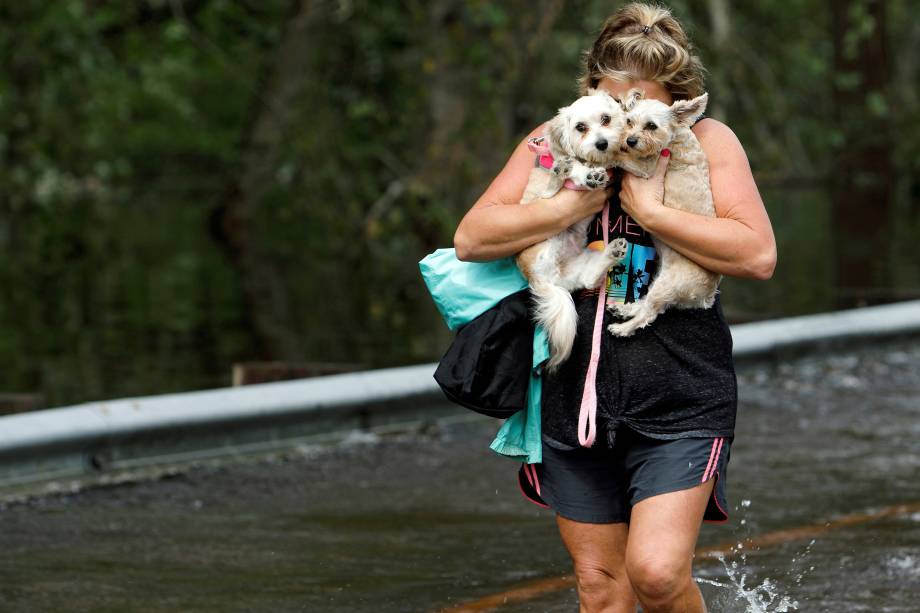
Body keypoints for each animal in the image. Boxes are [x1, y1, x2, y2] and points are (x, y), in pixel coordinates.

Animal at [608, 88, 724, 338]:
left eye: (651, 126)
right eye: (629, 121)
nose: (630, 141)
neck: (675, 137)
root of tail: (706, 296)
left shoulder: (645, 168)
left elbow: (621, 157)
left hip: (667, 285)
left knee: (649, 314)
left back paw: (622, 328)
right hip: (660, 280)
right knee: (647, 305)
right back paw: (625, 309)